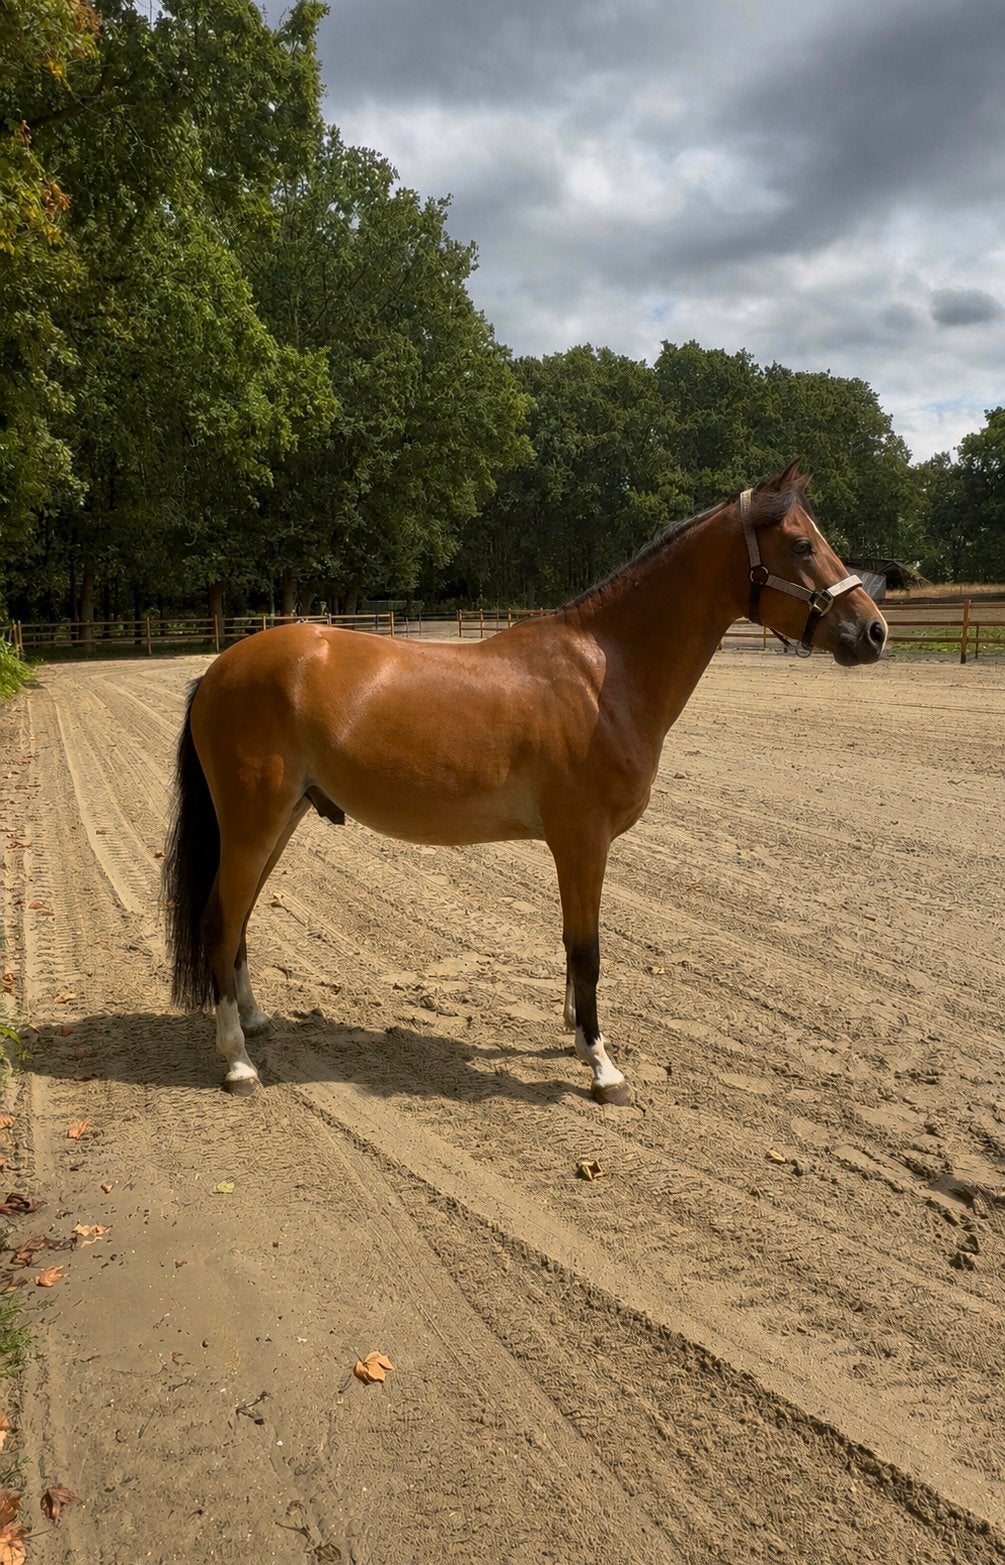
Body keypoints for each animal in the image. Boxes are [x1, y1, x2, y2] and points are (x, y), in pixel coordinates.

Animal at [162, 464, 887, 1104]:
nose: (874, 630)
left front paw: (574, 1034)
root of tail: (219, 669)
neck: (604, 672)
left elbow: (574, 949)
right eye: (801, 544)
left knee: (239, 918)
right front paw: (601, 1067)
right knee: (219, 921)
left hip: (278, 822)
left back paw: (254, 1022)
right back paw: (237, 1061)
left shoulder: (577, 846)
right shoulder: (582, 841)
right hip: (254, 824)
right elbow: (586, 948)